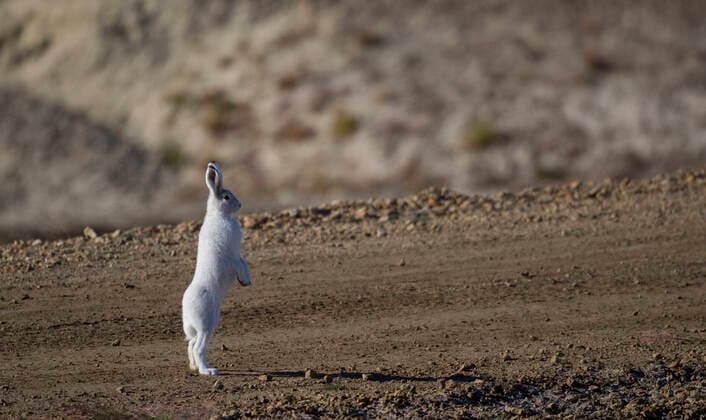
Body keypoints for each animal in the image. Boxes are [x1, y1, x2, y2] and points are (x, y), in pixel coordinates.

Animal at [182, 161, 251, 375]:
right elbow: (240, 263)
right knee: (197, 347)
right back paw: (208, 371)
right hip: (206, 323)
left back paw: (194, 367)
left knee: (190, 344)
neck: (219, 215)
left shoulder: (237, 254)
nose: (240, 205)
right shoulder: (231, 255)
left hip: (205, 325)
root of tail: (186, 311)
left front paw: (246, 281)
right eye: (226, 196)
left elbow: (244, 261)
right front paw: (244, 280)